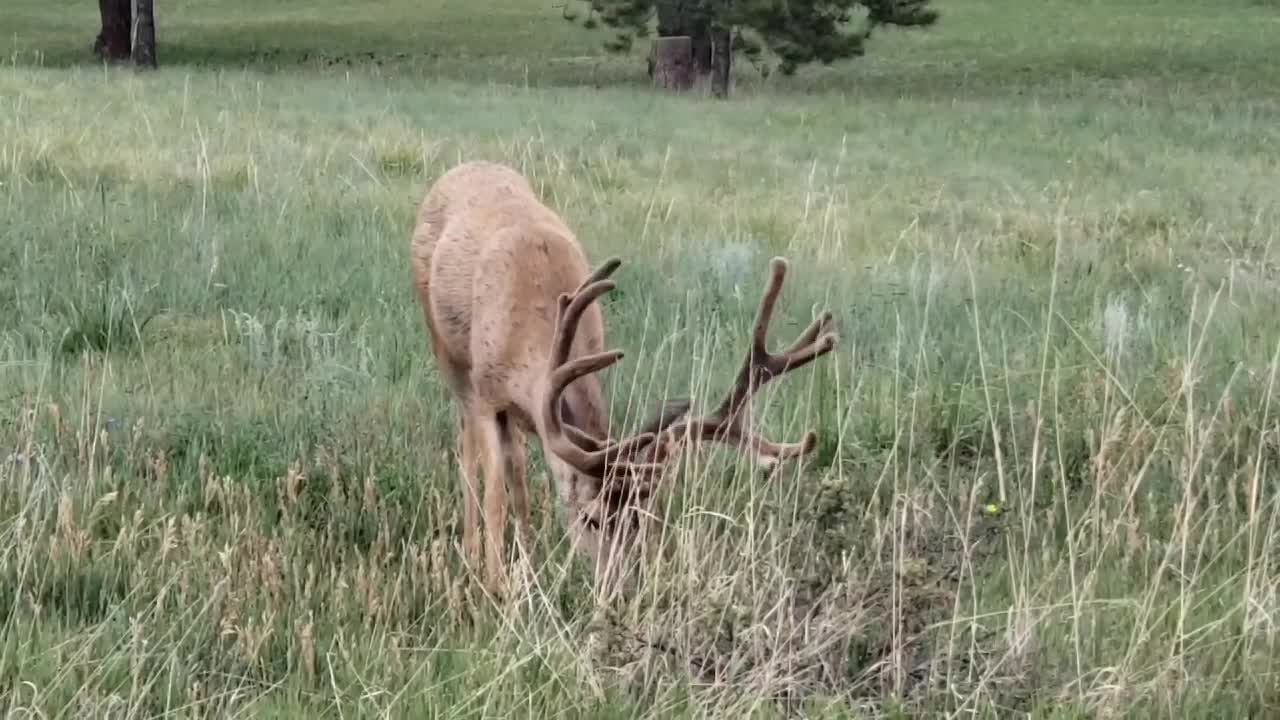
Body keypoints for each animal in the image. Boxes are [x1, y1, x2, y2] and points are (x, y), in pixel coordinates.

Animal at [404, 162, 834, 594]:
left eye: (640, 519)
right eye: (591, 519)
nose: (620, 588)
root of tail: (464, 167)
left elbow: (518, 476)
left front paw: (526, 566)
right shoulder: (487, 394)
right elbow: (495, 494)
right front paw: (495, 586)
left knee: (517, 464)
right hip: (447, 353)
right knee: (468, 449)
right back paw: (472, 553)